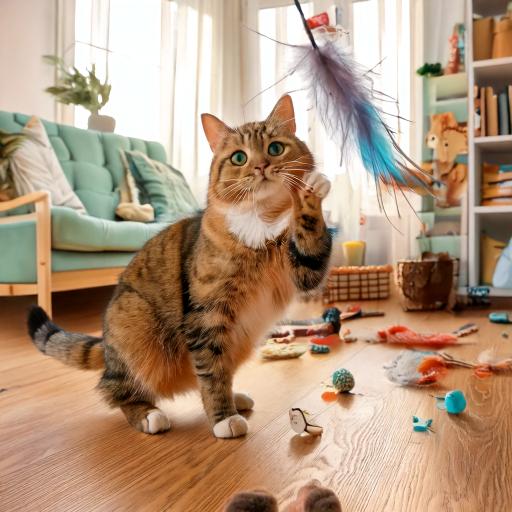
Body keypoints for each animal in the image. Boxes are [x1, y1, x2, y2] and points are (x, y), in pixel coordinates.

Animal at [28, 96, 332, 440]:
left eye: (275, 148)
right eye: (239, 157)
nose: (261, 167)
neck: (262, 220)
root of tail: (107, 347)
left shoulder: (304, 272)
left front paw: (310, 191)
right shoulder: (207, 314)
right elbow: (211, 373)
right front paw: (223, 418)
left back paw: (236, 398)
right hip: (135, 323)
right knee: (117, 389)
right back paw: (150, 415)